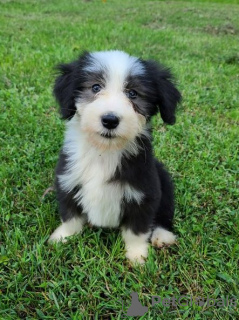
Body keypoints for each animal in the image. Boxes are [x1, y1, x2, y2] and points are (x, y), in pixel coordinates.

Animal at [49, 50, 182, 264]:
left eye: (133, 93)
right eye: (95, 87)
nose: (110, 120)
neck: (104, 151)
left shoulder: (144, 194)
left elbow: (137, 230)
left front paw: (137, 256)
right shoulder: (67, 181)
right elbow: (70, 216)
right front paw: (62, 237)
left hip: (164, 181)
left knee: (164, 215)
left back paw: (163, 236)